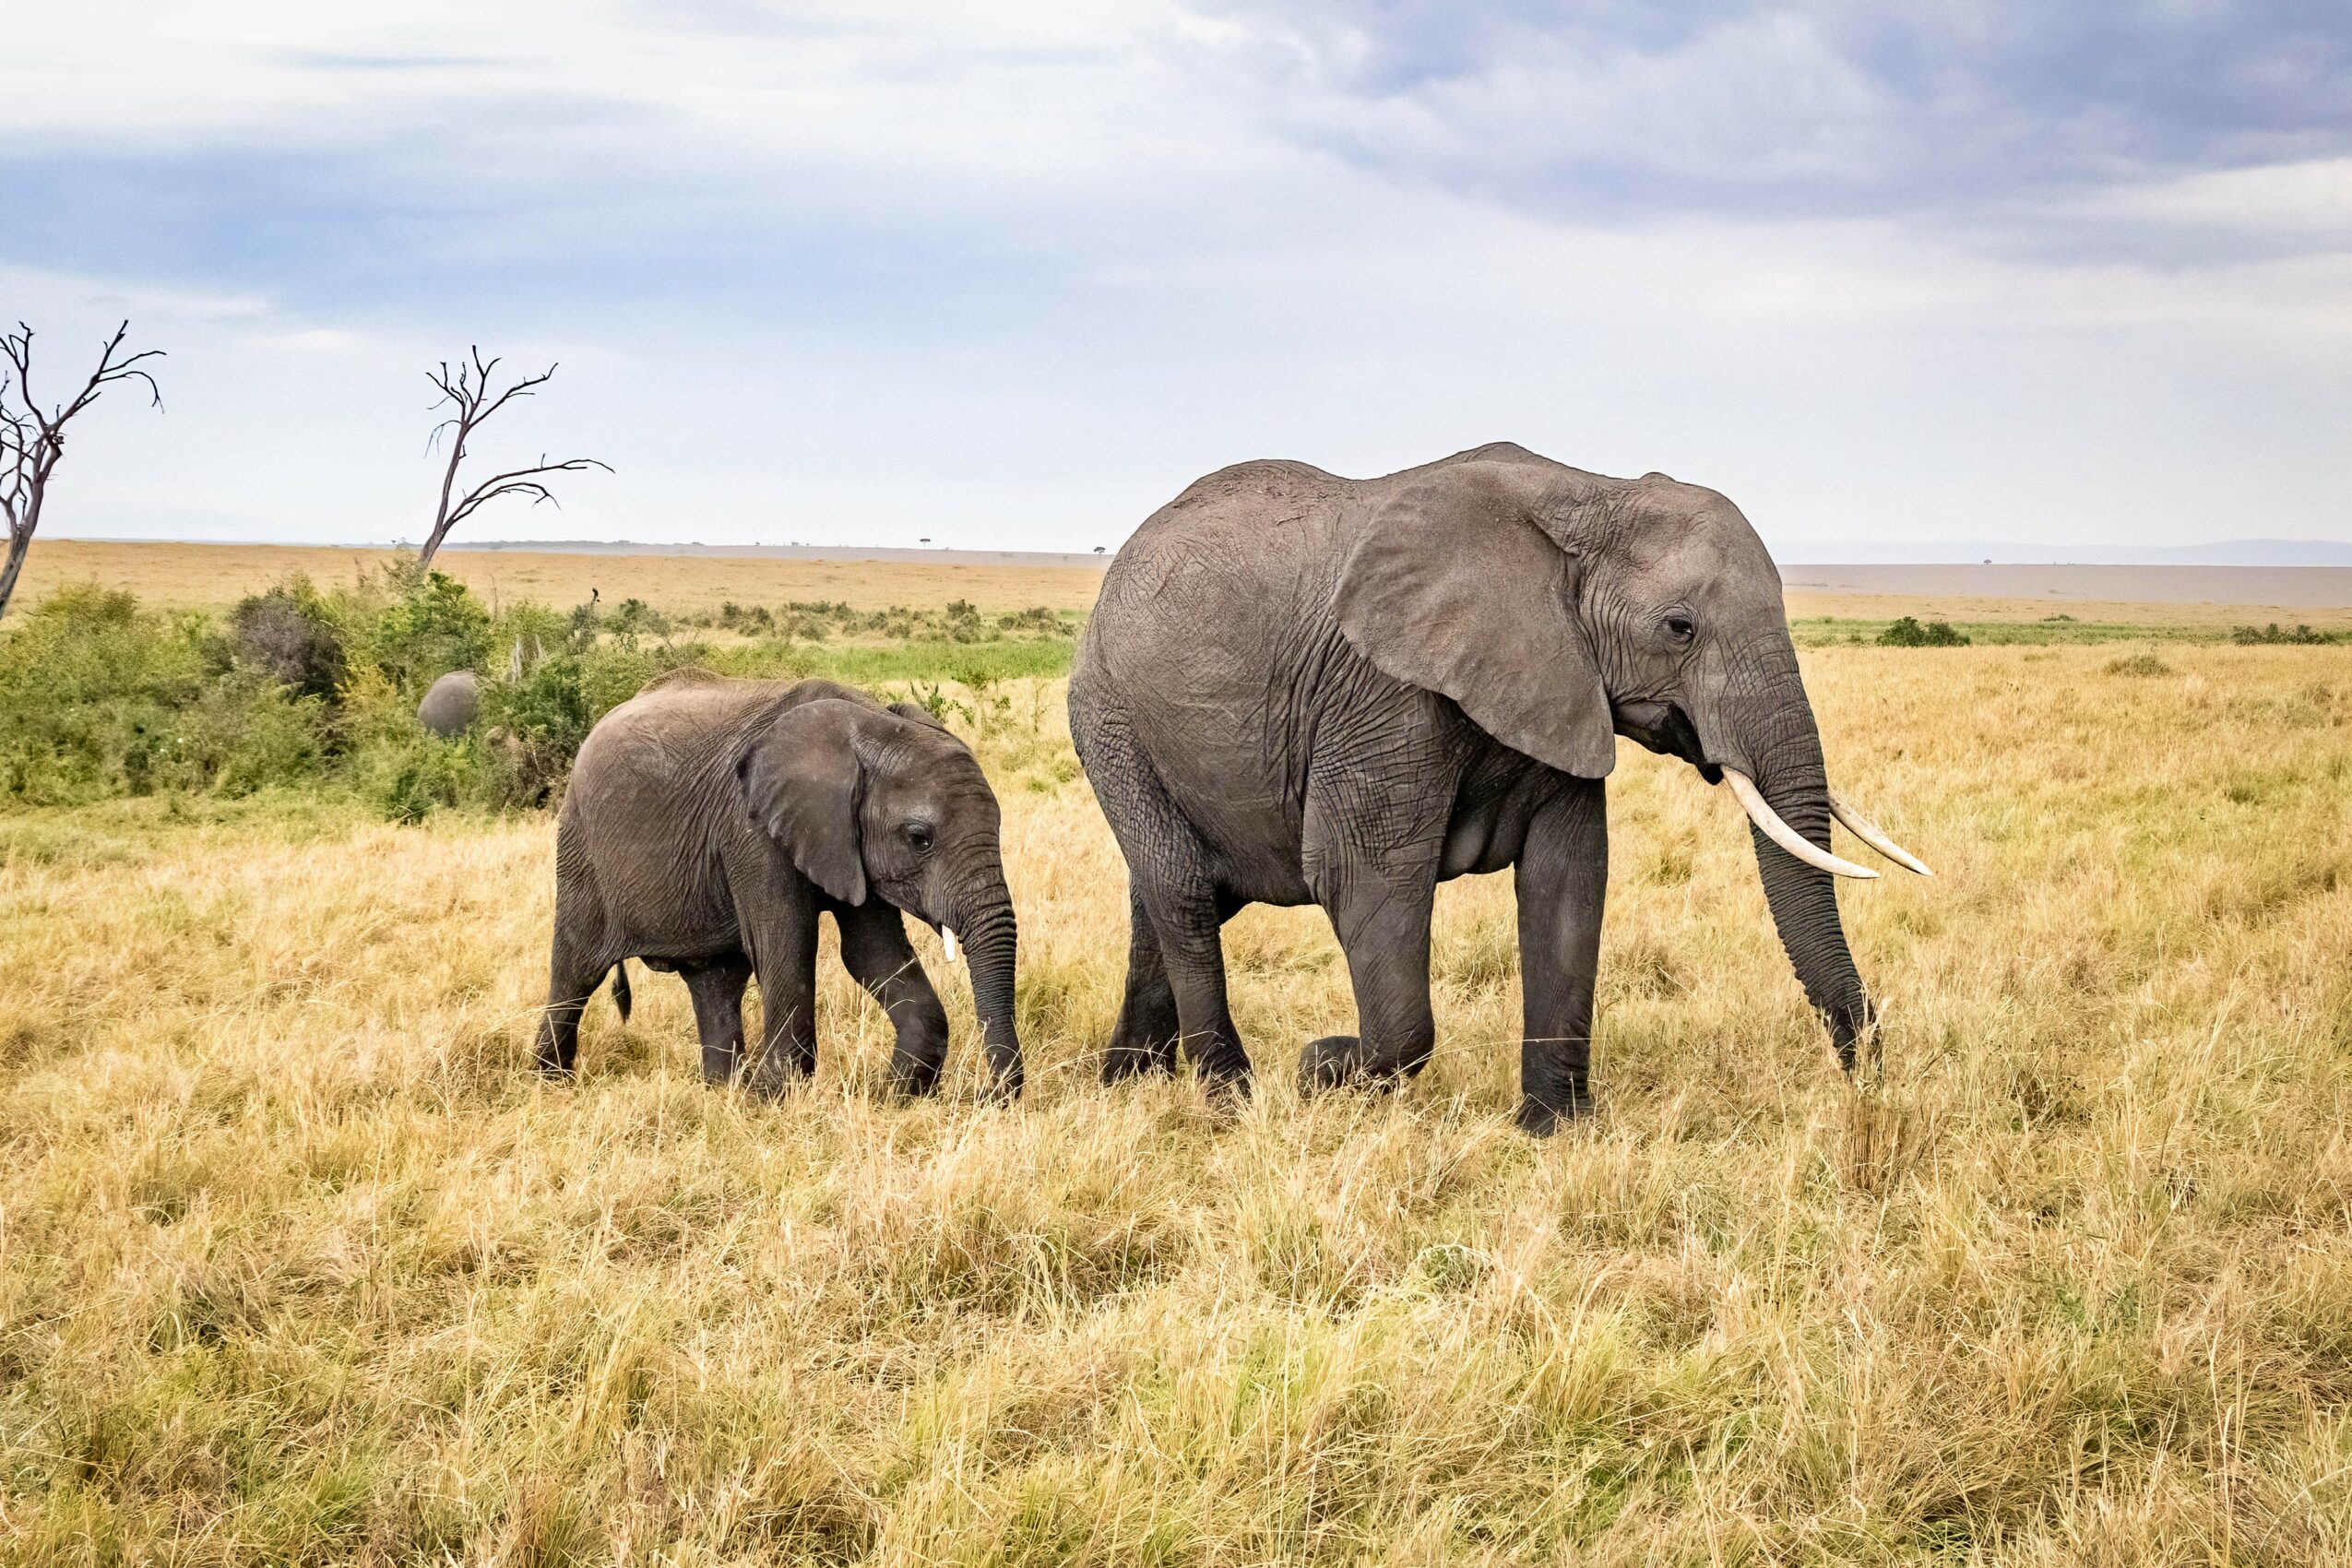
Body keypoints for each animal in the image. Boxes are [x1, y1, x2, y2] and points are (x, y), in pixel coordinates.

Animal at [534, 669, 1023, 1098]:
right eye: (920, 838)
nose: (986, 1094)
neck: (870, 723)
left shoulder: (847, 842)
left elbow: (872, 952)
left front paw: (898, 1094)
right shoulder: (751, 832)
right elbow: (787, 941)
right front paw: (777, 1095)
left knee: (715, 981)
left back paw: (723, 1093)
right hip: (580, 847)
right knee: (577, 968)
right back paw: (551, 1084)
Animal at [1068, 442, 1927, 1134]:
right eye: (1679, 627)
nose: (1867, 1084)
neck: (1589, 492)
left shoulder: (1561, 681)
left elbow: (1569, 879)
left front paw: (1555, 1132)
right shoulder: (1383, 693)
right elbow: (1365, 878)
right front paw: (1323, 1066)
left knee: (1170, 897)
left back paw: (1122, 1085)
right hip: (1109, 716)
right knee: (1183, 892)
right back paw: (1228, 1101)